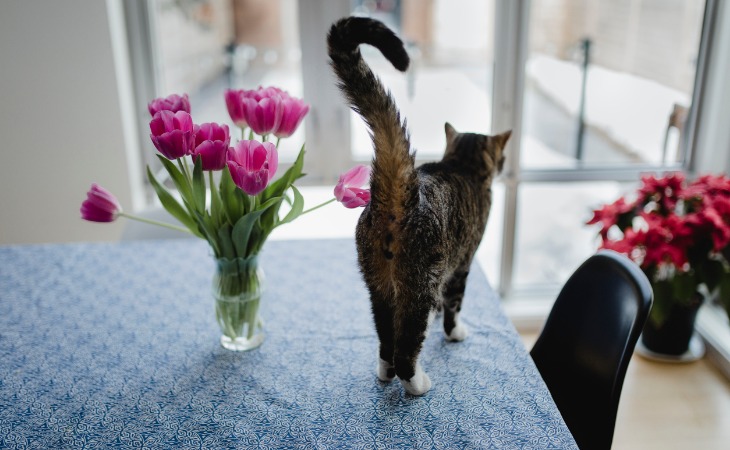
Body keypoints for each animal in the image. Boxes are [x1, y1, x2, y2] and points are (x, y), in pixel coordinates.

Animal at [328, 15, 510, 396]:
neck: (461, 165)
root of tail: (400, 192)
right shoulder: (462, 261)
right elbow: (455, 302)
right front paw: (454, 330)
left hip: (378, 284)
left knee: (386, 337)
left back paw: (384, 371)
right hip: (417, 284)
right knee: (406, 346)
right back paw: (416, 383)